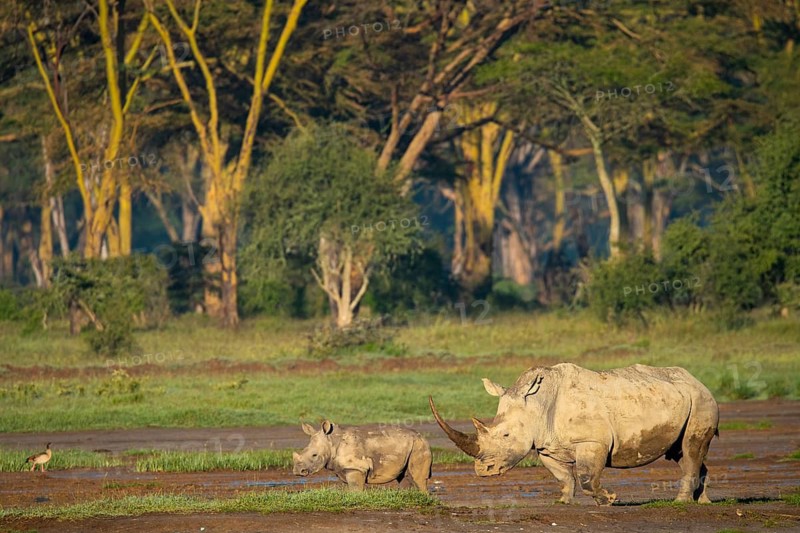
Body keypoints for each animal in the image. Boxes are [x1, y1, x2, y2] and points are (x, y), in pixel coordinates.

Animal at [292, 420, 432, 492]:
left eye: (314, 455)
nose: (298, 471)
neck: (331, 441)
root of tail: (422, 436)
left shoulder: (356, 467)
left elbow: (355, 490)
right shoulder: (345, 468)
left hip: (419, 445)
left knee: (418, 478)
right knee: (405, 477)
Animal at [430, 363, 719, 505]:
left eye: (506, 436)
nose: (483, 471)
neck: (536, 404)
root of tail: (698, 381)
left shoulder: (592, 441)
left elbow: (587, 477)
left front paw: (608, 500)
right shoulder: (544, 445)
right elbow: (563, 476)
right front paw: (563, 501)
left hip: (701, 400)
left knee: (690, 449)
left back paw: (681, 502)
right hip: (683, 398)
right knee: (682, 452)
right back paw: (703, 502)